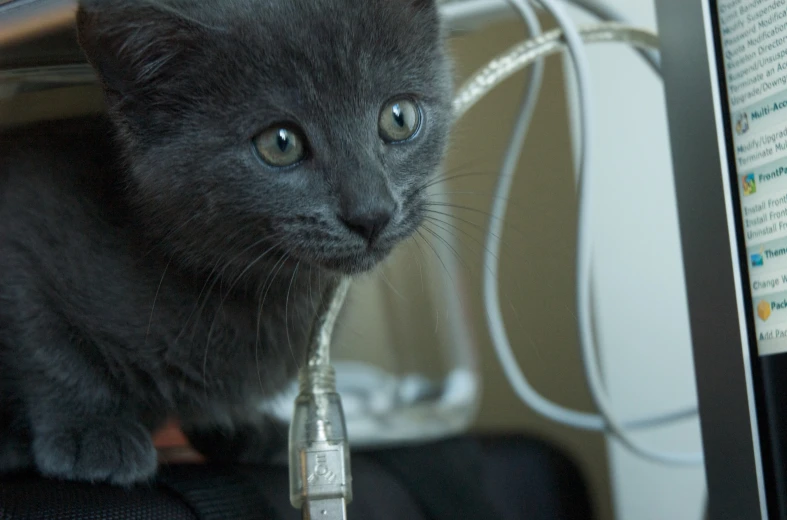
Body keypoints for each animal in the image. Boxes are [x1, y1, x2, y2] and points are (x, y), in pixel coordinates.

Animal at [0, 0, 452, 486]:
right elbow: (51, 352)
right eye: (280, 143)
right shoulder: (24, 231)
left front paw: (239, 426)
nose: (372, 213)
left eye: (399, 117)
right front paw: (94, 430)